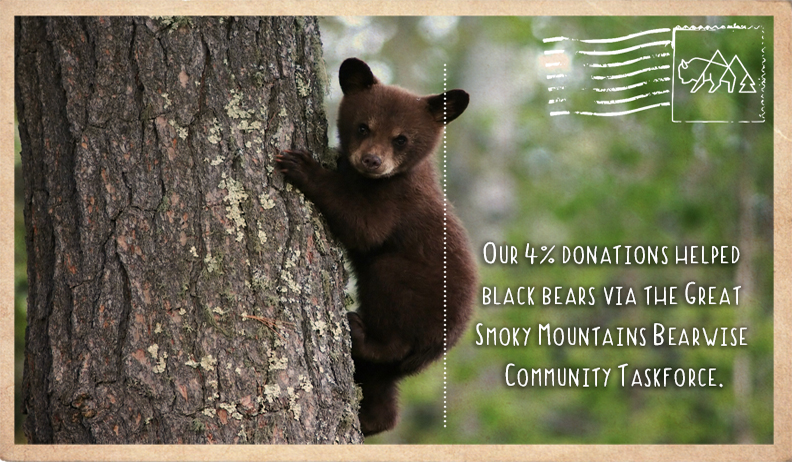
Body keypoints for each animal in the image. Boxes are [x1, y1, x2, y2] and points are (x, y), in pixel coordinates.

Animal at [276, 58, 477, 437]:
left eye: (401, 138)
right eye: (363, 127)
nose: (372, 160)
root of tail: (437, 349)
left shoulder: (396, 200)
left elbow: (364, 228)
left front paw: (302, 166)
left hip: (411, 292)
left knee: (391, 319)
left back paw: (359, 331)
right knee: (382, 389)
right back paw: (371, 420)